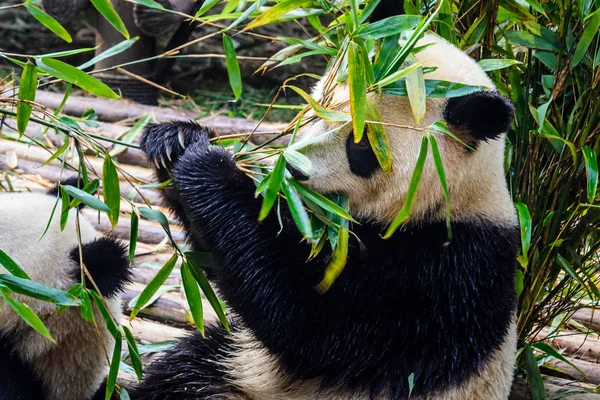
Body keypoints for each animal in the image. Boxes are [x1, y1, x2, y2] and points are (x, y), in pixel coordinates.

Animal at [131, 31, 520, 400]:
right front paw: (176, 140)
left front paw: (207, 165)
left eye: (361, 144)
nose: (293, 169)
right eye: (318, 108)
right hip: (239, 365)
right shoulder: (314, 216)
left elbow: (307, 320)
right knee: (184, 371)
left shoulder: (444, 274)